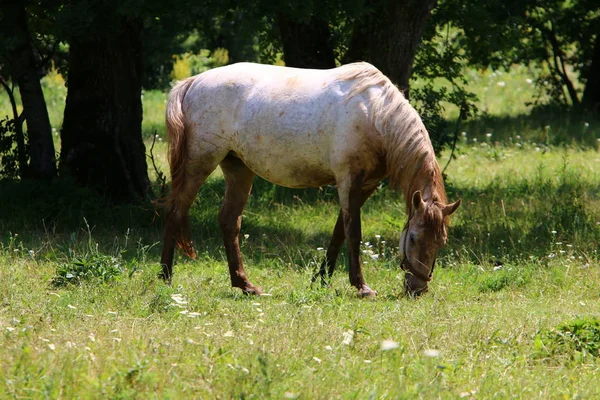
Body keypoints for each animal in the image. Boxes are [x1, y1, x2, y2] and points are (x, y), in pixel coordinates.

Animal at [158, 61, 460, 296]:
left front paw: (322, 279)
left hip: (238, 169)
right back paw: (165, 278)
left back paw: (246, 285)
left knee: (229, 221)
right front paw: (362, 287)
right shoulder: (348, 181)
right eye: (413, 239)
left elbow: (339, 232)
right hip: (200, 162)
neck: (375, 113)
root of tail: (192, 83)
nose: (417, 289)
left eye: (442, 242)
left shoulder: (365, 185)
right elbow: (353, 232)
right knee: (175, 210)